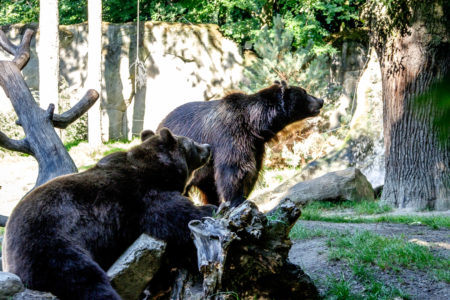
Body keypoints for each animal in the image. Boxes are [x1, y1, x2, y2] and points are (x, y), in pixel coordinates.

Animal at [2, 128, 214, 300]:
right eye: (192, 143)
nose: (208, 146)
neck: (159, 170)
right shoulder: (139, 195)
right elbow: (172, 213)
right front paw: (207, 209)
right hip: (49, 242)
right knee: (81, 277)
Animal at [158, 79, 324, 207]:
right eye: (304, 92)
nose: (321, 101)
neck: (254, 124)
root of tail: (161, 122)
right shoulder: (231, 135)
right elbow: (235, 169)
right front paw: (236, 200)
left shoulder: (256, 146)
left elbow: (252, 171)